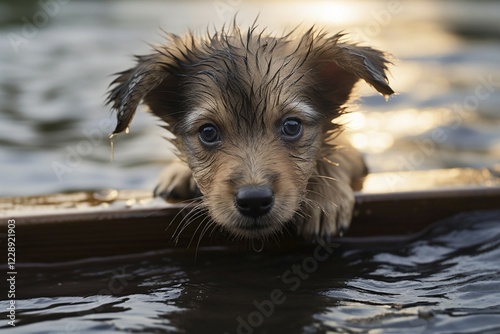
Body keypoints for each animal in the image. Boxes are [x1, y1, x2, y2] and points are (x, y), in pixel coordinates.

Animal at [107, 22, 392, 243]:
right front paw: (178, 173)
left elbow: (340, 151)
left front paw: (325, 196)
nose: (254, 201)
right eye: (208, 132)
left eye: (292, 126)